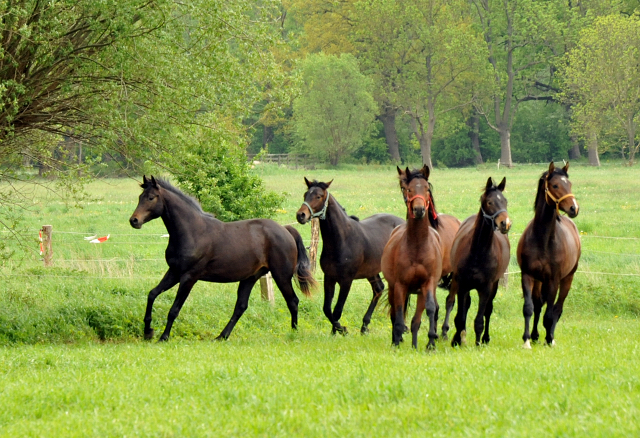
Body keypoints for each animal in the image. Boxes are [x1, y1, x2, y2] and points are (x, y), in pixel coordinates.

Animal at [129, 176, 316, 340]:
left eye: (151, 198)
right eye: (140, 197)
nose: (134, 221)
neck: (193, 231)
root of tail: (286, 230)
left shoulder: (189, 277)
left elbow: (174, 309)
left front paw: (163, 337)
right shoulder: (174, 272)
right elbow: (152, 294)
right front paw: (148, 331)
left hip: (281, 276)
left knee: (293, 301)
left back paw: (293, 333)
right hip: (250, 277)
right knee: (241, 306)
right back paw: (221, 336)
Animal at [296, 176, 404, 334]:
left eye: (318, 196)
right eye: (305, 195)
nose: (301, 215)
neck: (341, 240)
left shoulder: (346, 281)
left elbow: (337, 310)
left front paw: (341, 330)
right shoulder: (329, 278)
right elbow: (327, 309)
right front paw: (336, 331)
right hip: (371, 271)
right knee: (378, 289)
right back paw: (364, 326)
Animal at [382, 166, 442, 350]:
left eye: (427, 188)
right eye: (408, 189)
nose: (419, 210)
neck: (417, 246)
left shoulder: (427, 284)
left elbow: (428, 311)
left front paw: (429, 342)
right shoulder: (400, 285)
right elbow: (399, 316)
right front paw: (397, 343)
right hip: (393, 288)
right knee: (395, 313)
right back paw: (396, 340)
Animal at [444, 175, 510, 346]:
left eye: (505, 201)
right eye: (490, 202)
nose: (505, 224)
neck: (478, 252)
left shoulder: (486, 288)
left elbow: (480, 319)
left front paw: (478, 342)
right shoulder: (462, 285)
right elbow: (460, 316)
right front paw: (456, 340)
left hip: (494, 286)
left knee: (488, 310)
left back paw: (485, 338)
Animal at [516, 163, 584, 348]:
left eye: (570, 184)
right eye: (555, 185)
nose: (574, 208)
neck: (543, 239)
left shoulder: (554, 280)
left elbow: (550, 313)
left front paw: (549, 339)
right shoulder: (527, 275)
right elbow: (529, 308)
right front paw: (526, 340)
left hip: (567, 279)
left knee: (557, 309)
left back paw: (550, 337)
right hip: (540, 281)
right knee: (539, 305)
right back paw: (535, 335)